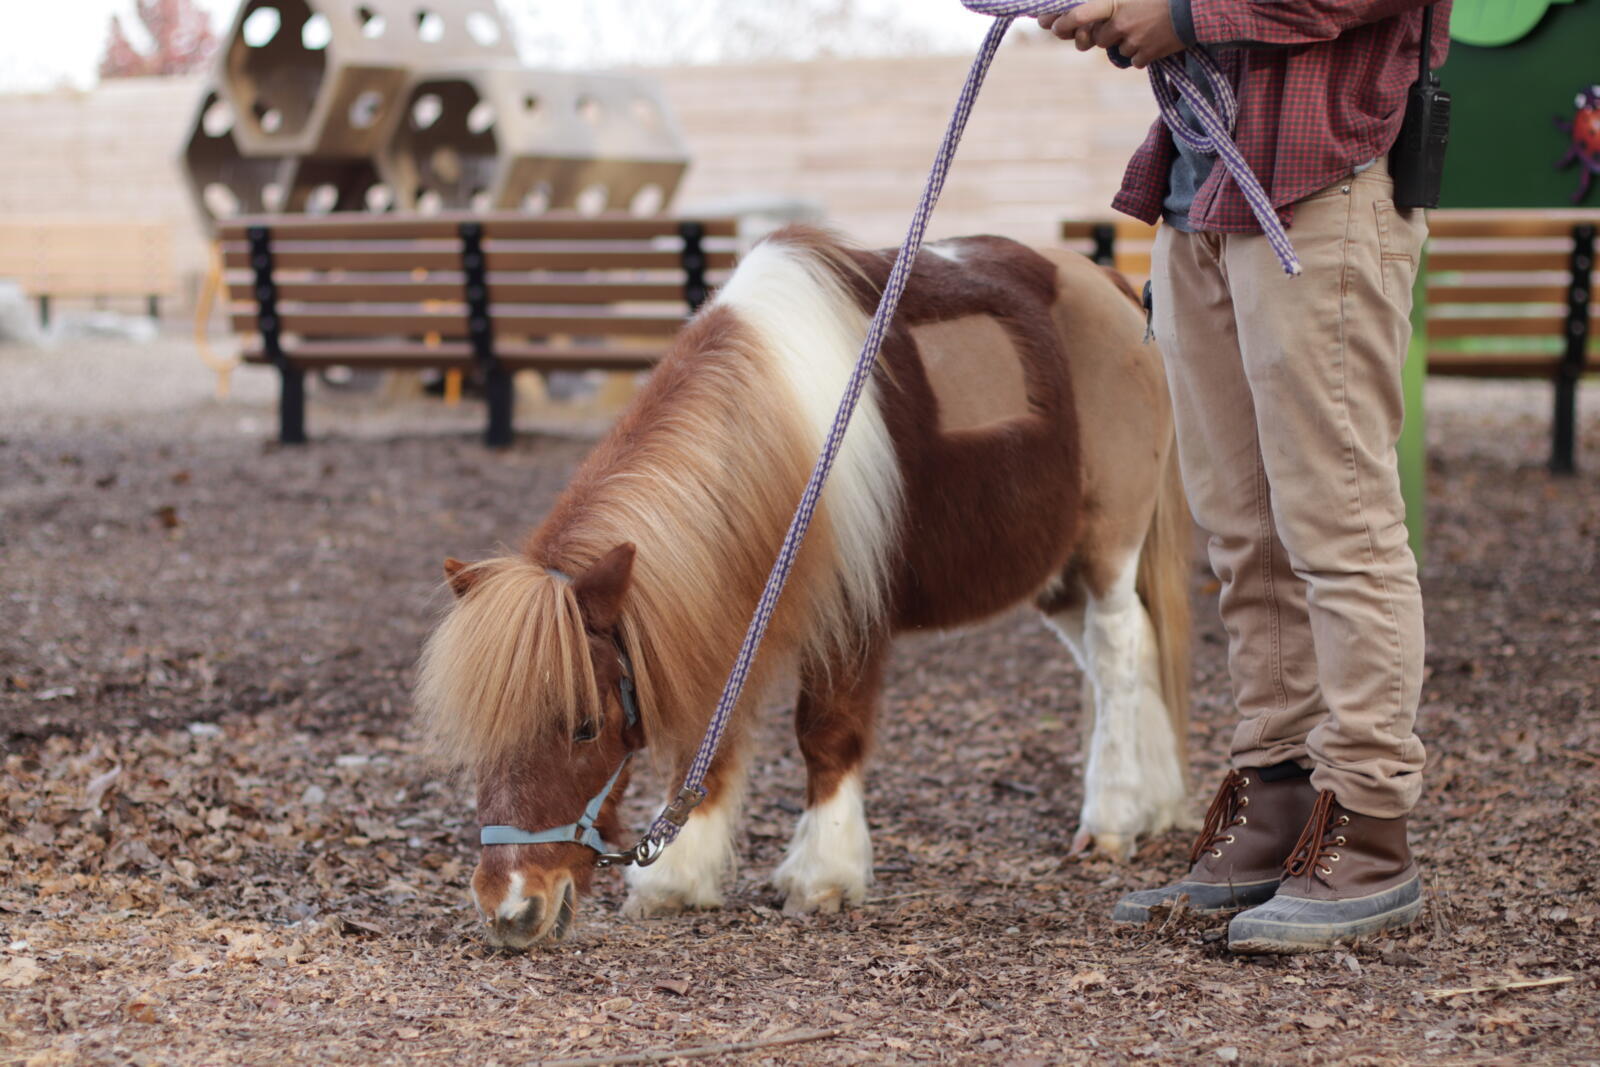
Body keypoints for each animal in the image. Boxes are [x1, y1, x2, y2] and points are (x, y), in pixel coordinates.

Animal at [414, 225, 1192, 949]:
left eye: (583, 726)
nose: (512, 909)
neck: (783, 431)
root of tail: (1110, 287)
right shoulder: (726, 608)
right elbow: (708, 735)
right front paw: (678, 878)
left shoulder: (851, 614)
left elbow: (827, 735)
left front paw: (825, 874)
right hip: (1054, 574)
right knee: (1129, 655)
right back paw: (1153, 803)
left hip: (1106, 548)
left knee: (1119, 651)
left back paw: (1113, 818)